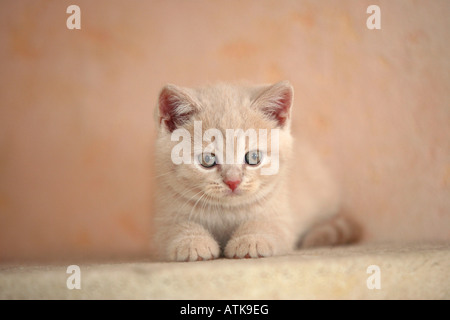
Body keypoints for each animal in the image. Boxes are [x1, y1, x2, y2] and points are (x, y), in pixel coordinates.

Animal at [153, 81, 360, 262]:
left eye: (253, 157)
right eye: (207, 160)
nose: (233, 181)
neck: (226, 212)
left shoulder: (281, 214)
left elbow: (266, 224)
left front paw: (250, 240)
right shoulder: (162, 218)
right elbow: (175, 227)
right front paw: (192, 242)